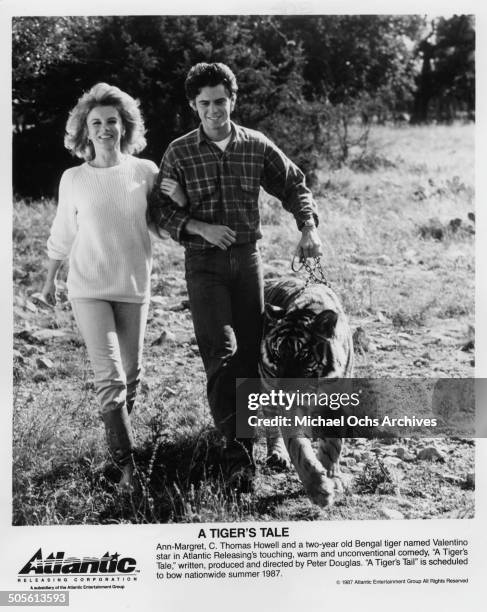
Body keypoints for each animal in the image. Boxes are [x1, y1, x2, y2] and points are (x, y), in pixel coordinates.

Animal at [260, 278, 354, 506]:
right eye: (277, 354)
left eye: (303, 355)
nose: (283, 392)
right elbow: (298, 447)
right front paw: (318, 488)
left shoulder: (337, 402)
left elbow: (332, 446)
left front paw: (332, 477)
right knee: (271, 423)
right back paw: (277, 455)